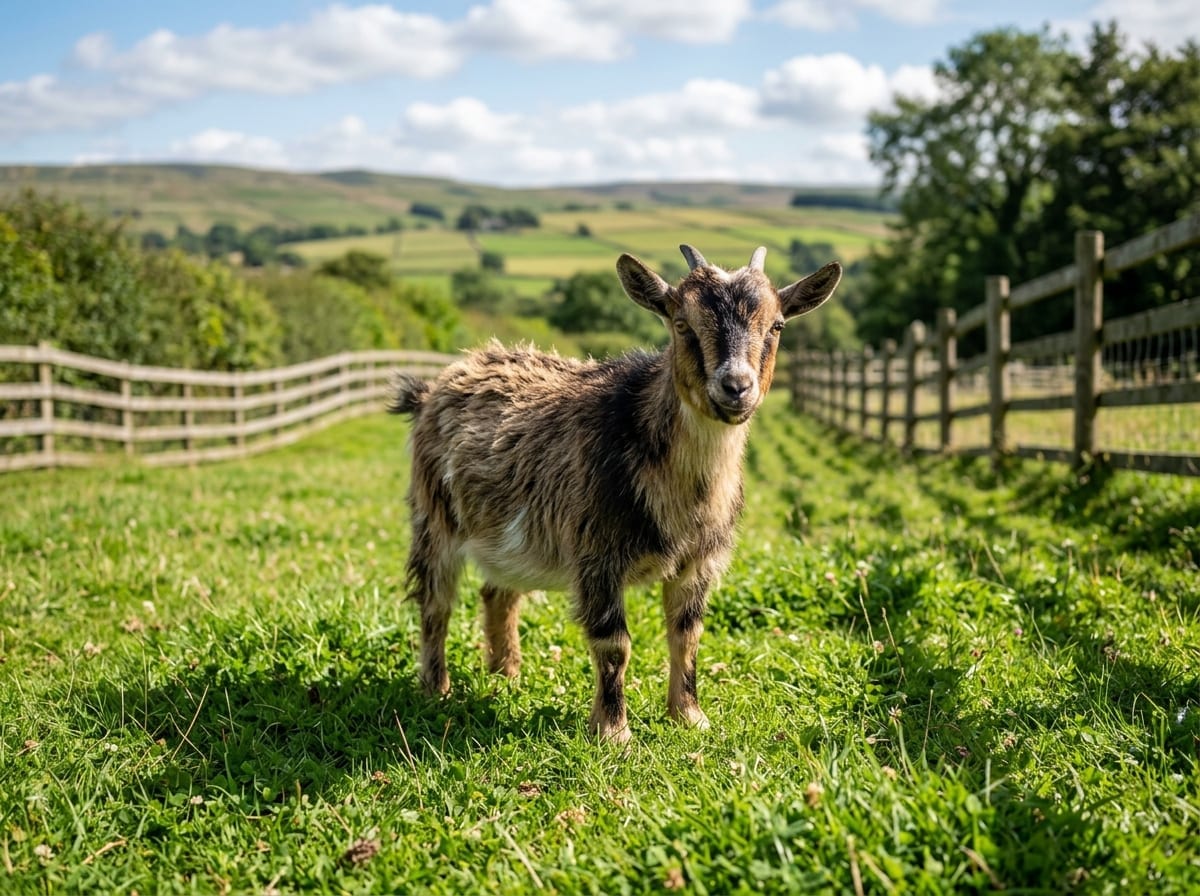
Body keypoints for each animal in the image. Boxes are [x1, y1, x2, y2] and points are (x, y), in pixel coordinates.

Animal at [388, 245, 840, 742]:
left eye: (777, 326)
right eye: (681, 323)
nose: (736, 387)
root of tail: (434, 387)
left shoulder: (699, 560)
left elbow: (688, 635)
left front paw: (689, 716)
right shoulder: (597, 553)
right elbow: (614, 644)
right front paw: (613, 732)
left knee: (498, 593)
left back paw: (506, 675)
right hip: (434, 515)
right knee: (435, 603)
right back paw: (437, 688)